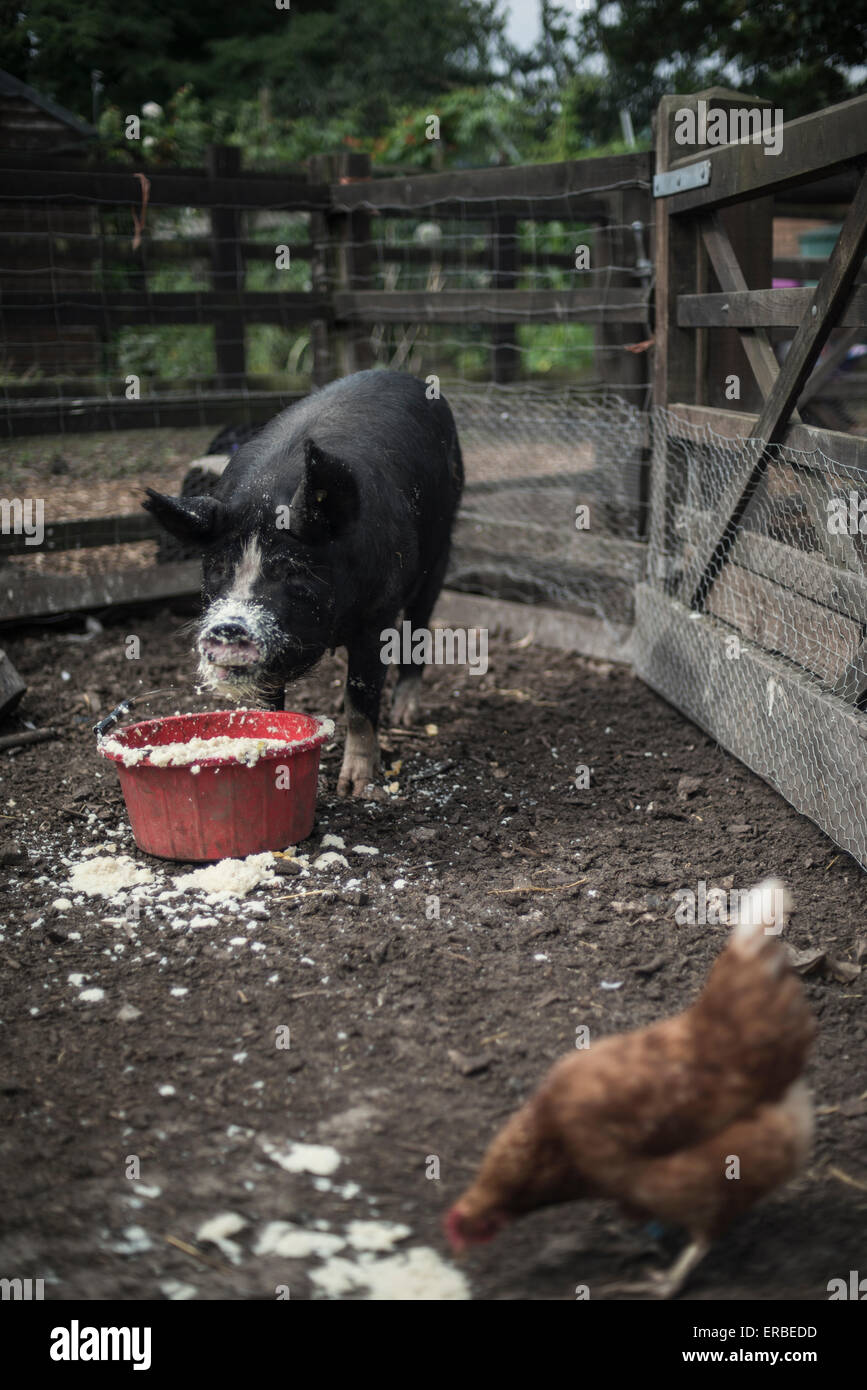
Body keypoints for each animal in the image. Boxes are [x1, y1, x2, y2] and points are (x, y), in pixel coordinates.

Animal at [145, 369, 464, 800]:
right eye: (217, 567)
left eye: (292, 570)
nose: (229, 627)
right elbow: (268, 705)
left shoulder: (377, 615)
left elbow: (362, 697)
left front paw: (355, 787)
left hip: (441, 545)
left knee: (419, 624)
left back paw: (404, 715)